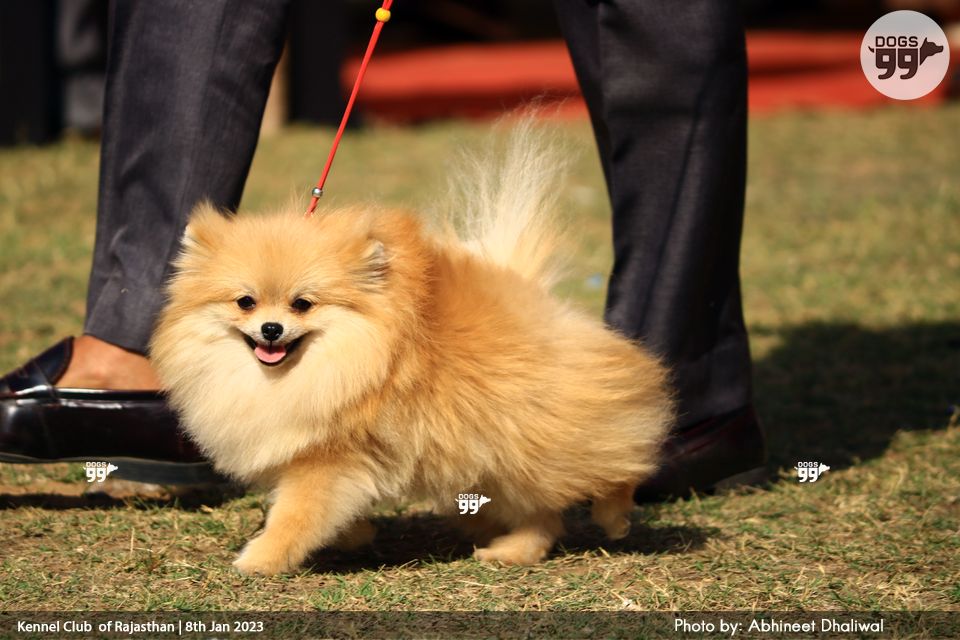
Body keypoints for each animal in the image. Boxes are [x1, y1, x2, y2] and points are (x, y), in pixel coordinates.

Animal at [150, 123, 674, 574]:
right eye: (245, 302)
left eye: (302, 303)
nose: (272, 328)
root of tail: (531, 298)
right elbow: (321, 510)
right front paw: (354, 535)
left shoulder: (331, 459)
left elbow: (295, 515)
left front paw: (260, 560)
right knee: (541, 513)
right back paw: (509, 548)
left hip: (545, 436)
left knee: (611, 467)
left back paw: (613, 517)